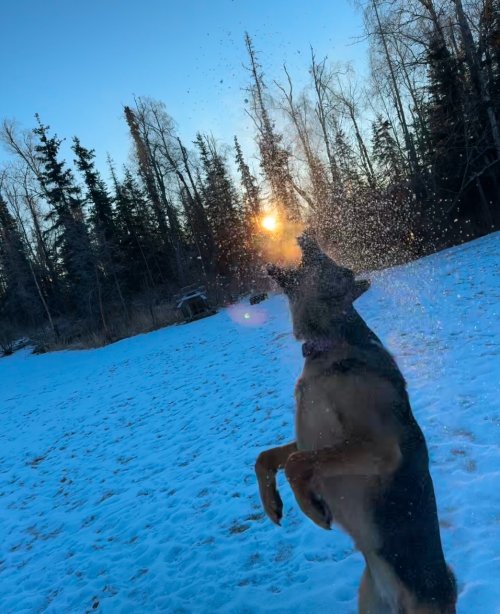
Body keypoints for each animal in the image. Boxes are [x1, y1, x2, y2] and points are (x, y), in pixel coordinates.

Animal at [256, 233, 456, 612]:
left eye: (324, 260)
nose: (307, 234)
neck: (329, 345)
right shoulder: (315, 439)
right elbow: (266, 458)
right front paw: (272, 505)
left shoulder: (380, 447)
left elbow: (296, 462)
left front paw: (313, 509)